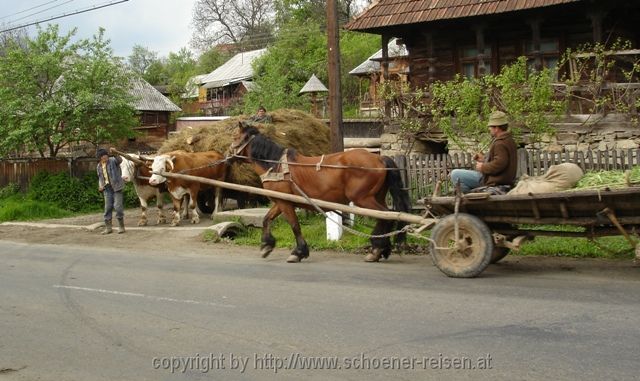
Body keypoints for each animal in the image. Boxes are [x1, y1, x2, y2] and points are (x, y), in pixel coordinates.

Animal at [230, 123, 410, 262]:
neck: (277, 166)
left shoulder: (285, 203)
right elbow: (267, 219)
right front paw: (267, 245)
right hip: (376, 197)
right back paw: (380, 248)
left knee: (387, 216)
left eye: (235, 136)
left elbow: (295, 226)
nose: (227, 154)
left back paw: (377, 250)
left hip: (363, 199)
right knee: (385, 217)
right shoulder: (281, 201)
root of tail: (379, 158)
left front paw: (299, 252)